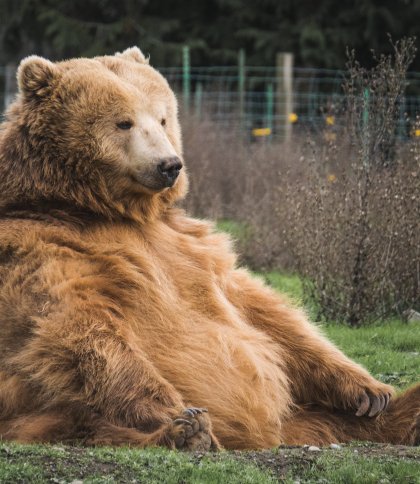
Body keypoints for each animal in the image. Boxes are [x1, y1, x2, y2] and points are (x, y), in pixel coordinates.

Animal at [0, 46, 418, 450]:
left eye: (162, 118)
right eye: (124, 122)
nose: (170, 164)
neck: (97, 208)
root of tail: (272, 435)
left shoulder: (190, 245)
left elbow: (264, 310)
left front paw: (369, 391)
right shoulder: (46, 247)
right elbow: (80, 329)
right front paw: (179, 413)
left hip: (309, 414)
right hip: (39, 407)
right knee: (83, 420)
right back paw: (185, 433)